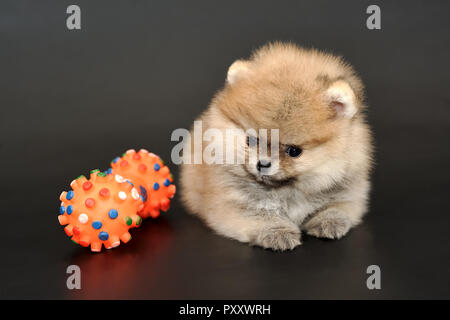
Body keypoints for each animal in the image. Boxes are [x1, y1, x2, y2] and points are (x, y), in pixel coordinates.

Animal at [179, 42, 372, 250]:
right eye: (251, 140)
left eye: (294, 151)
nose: (262, 164)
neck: (286, 191)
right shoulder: (231, 204)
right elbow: (261, 216)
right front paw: (278, 232)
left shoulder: (349, 193)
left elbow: (337, 207)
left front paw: (329, 221)